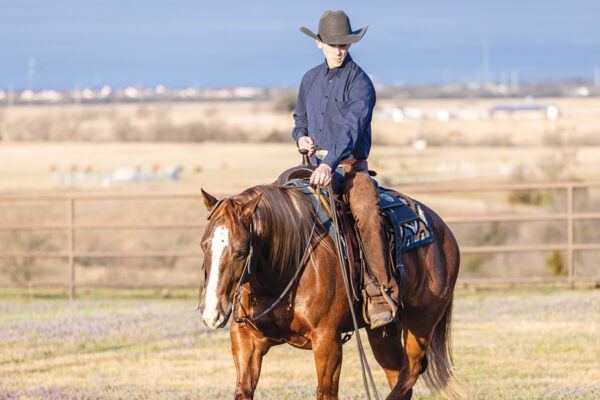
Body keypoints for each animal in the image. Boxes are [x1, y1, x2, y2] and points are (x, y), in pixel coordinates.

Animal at [199, 184, 466, 400]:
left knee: (412, 369)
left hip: (421, 322)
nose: (212, 314)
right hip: (384, 331)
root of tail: (442, 229)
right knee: (399, 373)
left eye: (241, 252)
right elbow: (243, 389)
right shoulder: (245, 340)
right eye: (204, 245)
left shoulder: (327, 341)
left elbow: (326, 392)